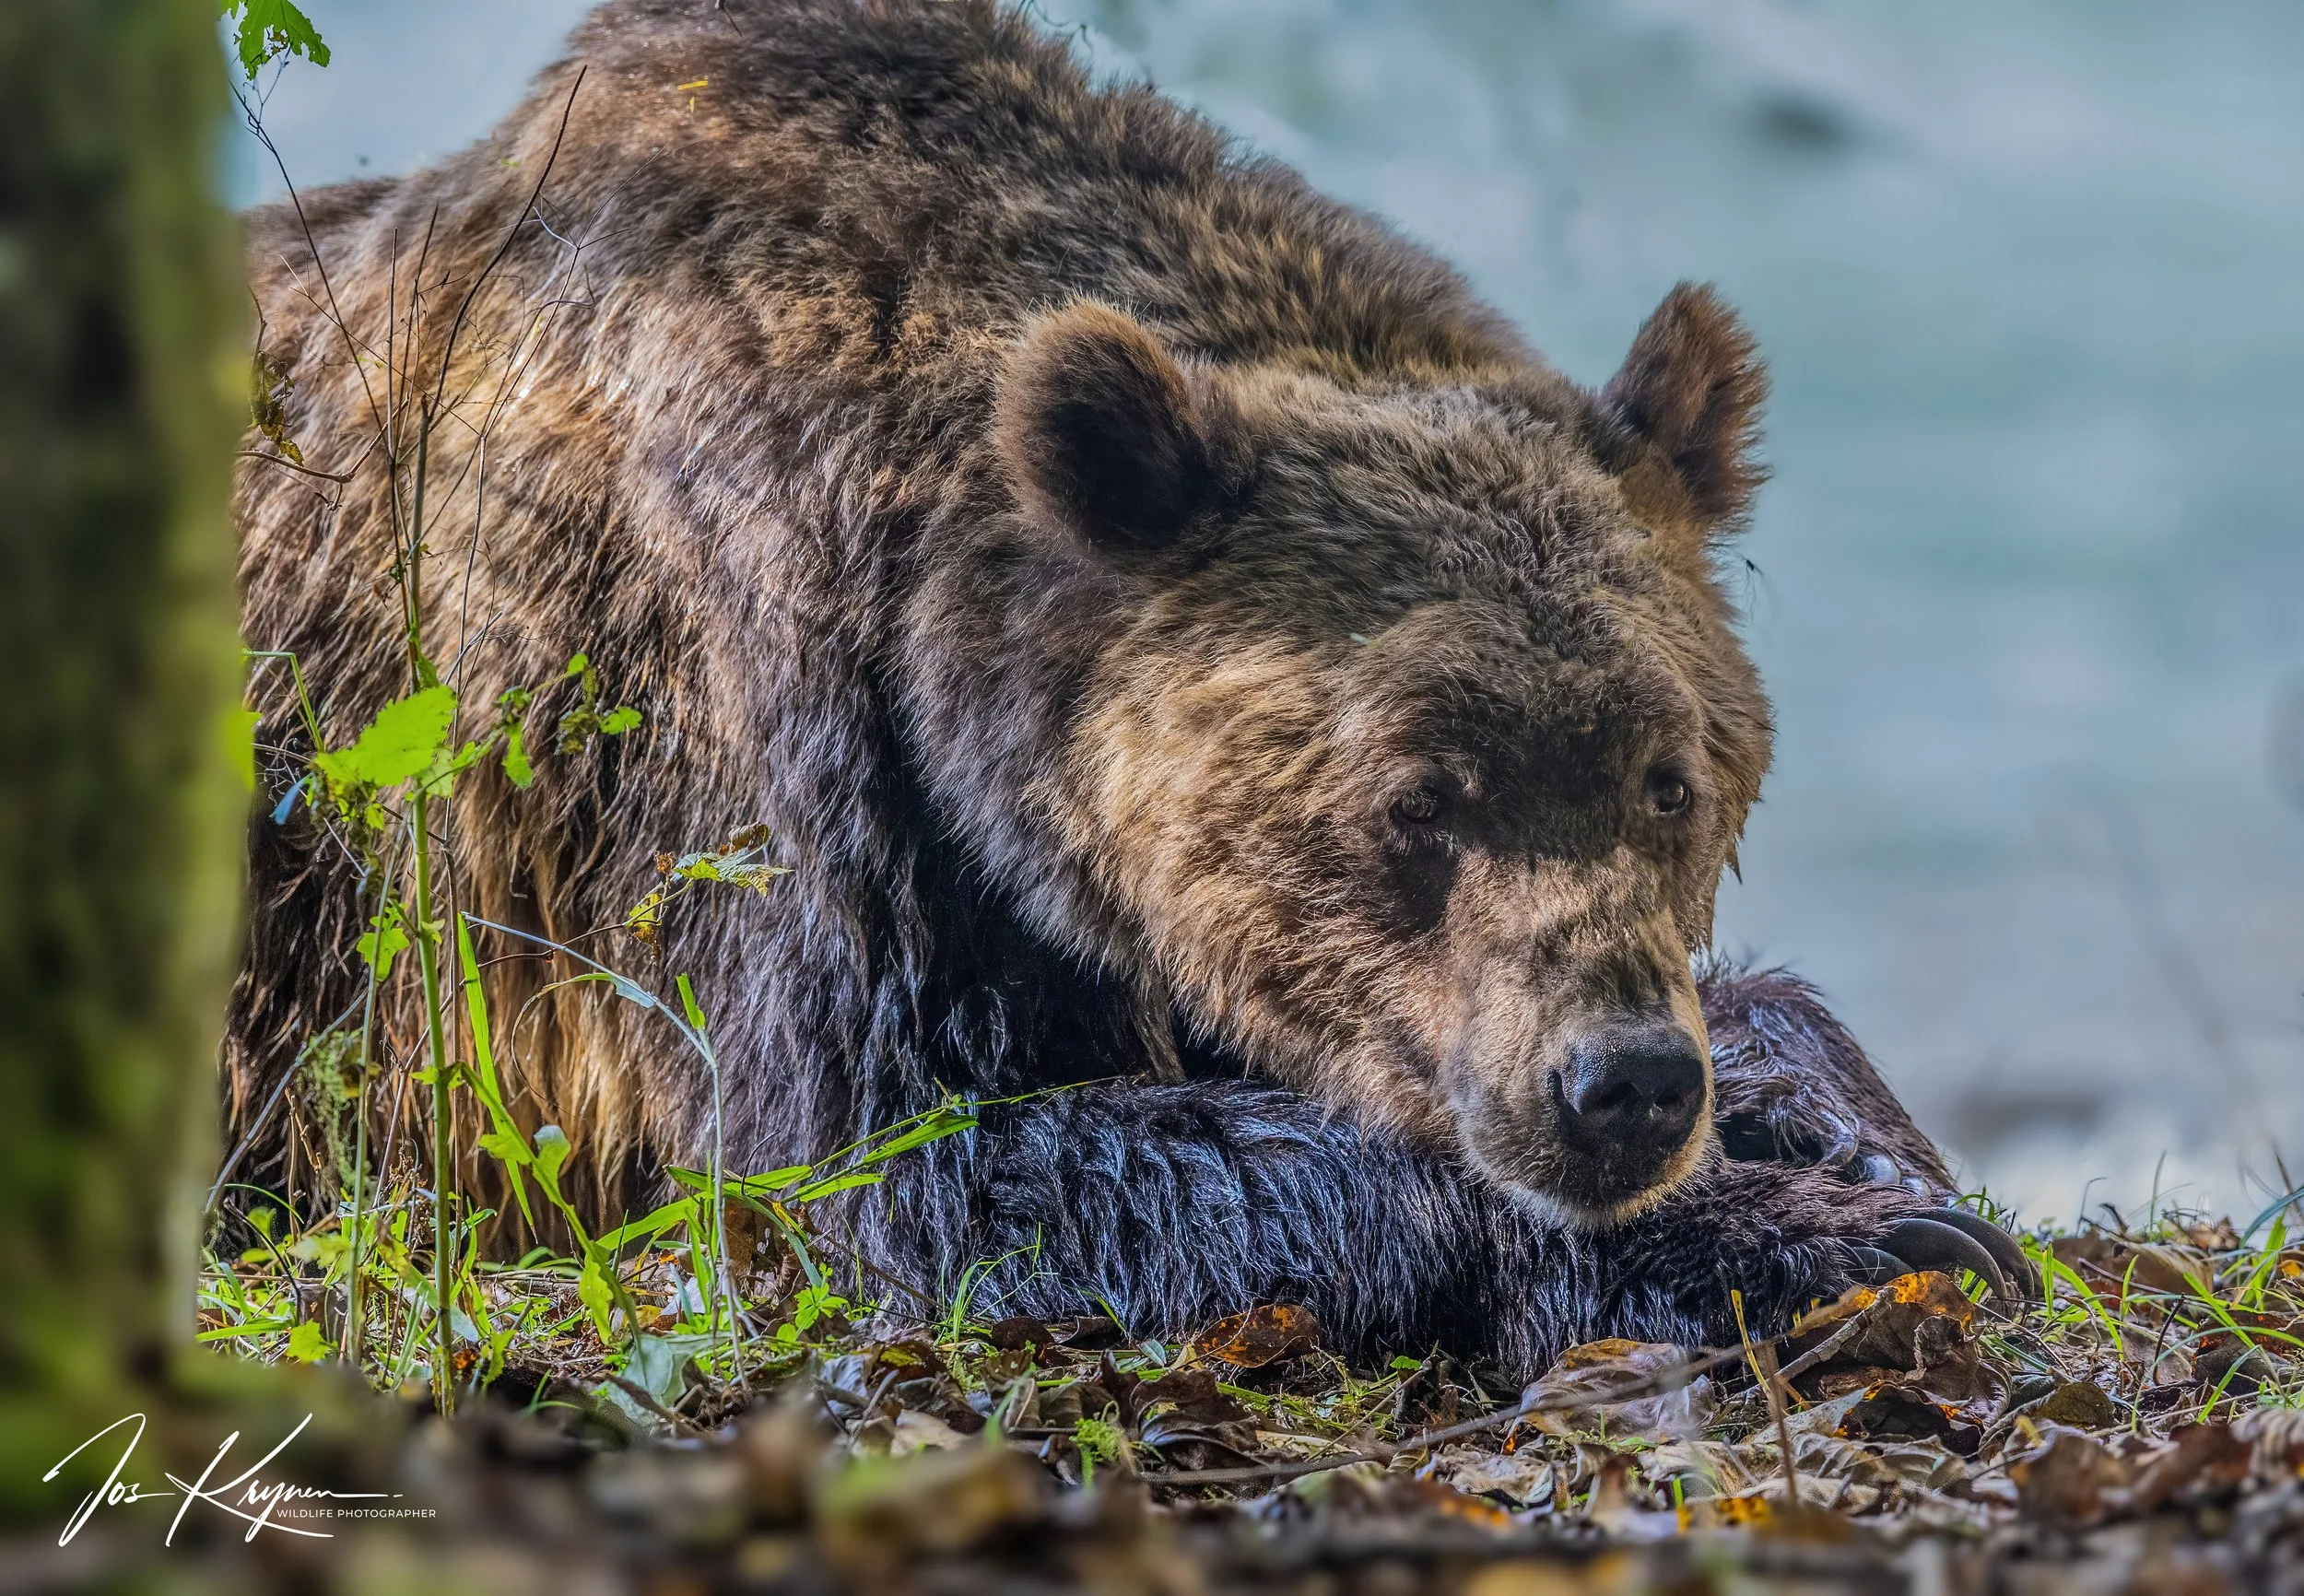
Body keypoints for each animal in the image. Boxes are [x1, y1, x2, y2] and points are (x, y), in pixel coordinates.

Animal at [228, 0, 2027, 1376]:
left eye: (1668, 777)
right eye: (1420, 795)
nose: (1622, 1082)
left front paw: (1841, 1122)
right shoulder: (731, 750)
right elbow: (896, 1165)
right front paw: (1830, 1238)